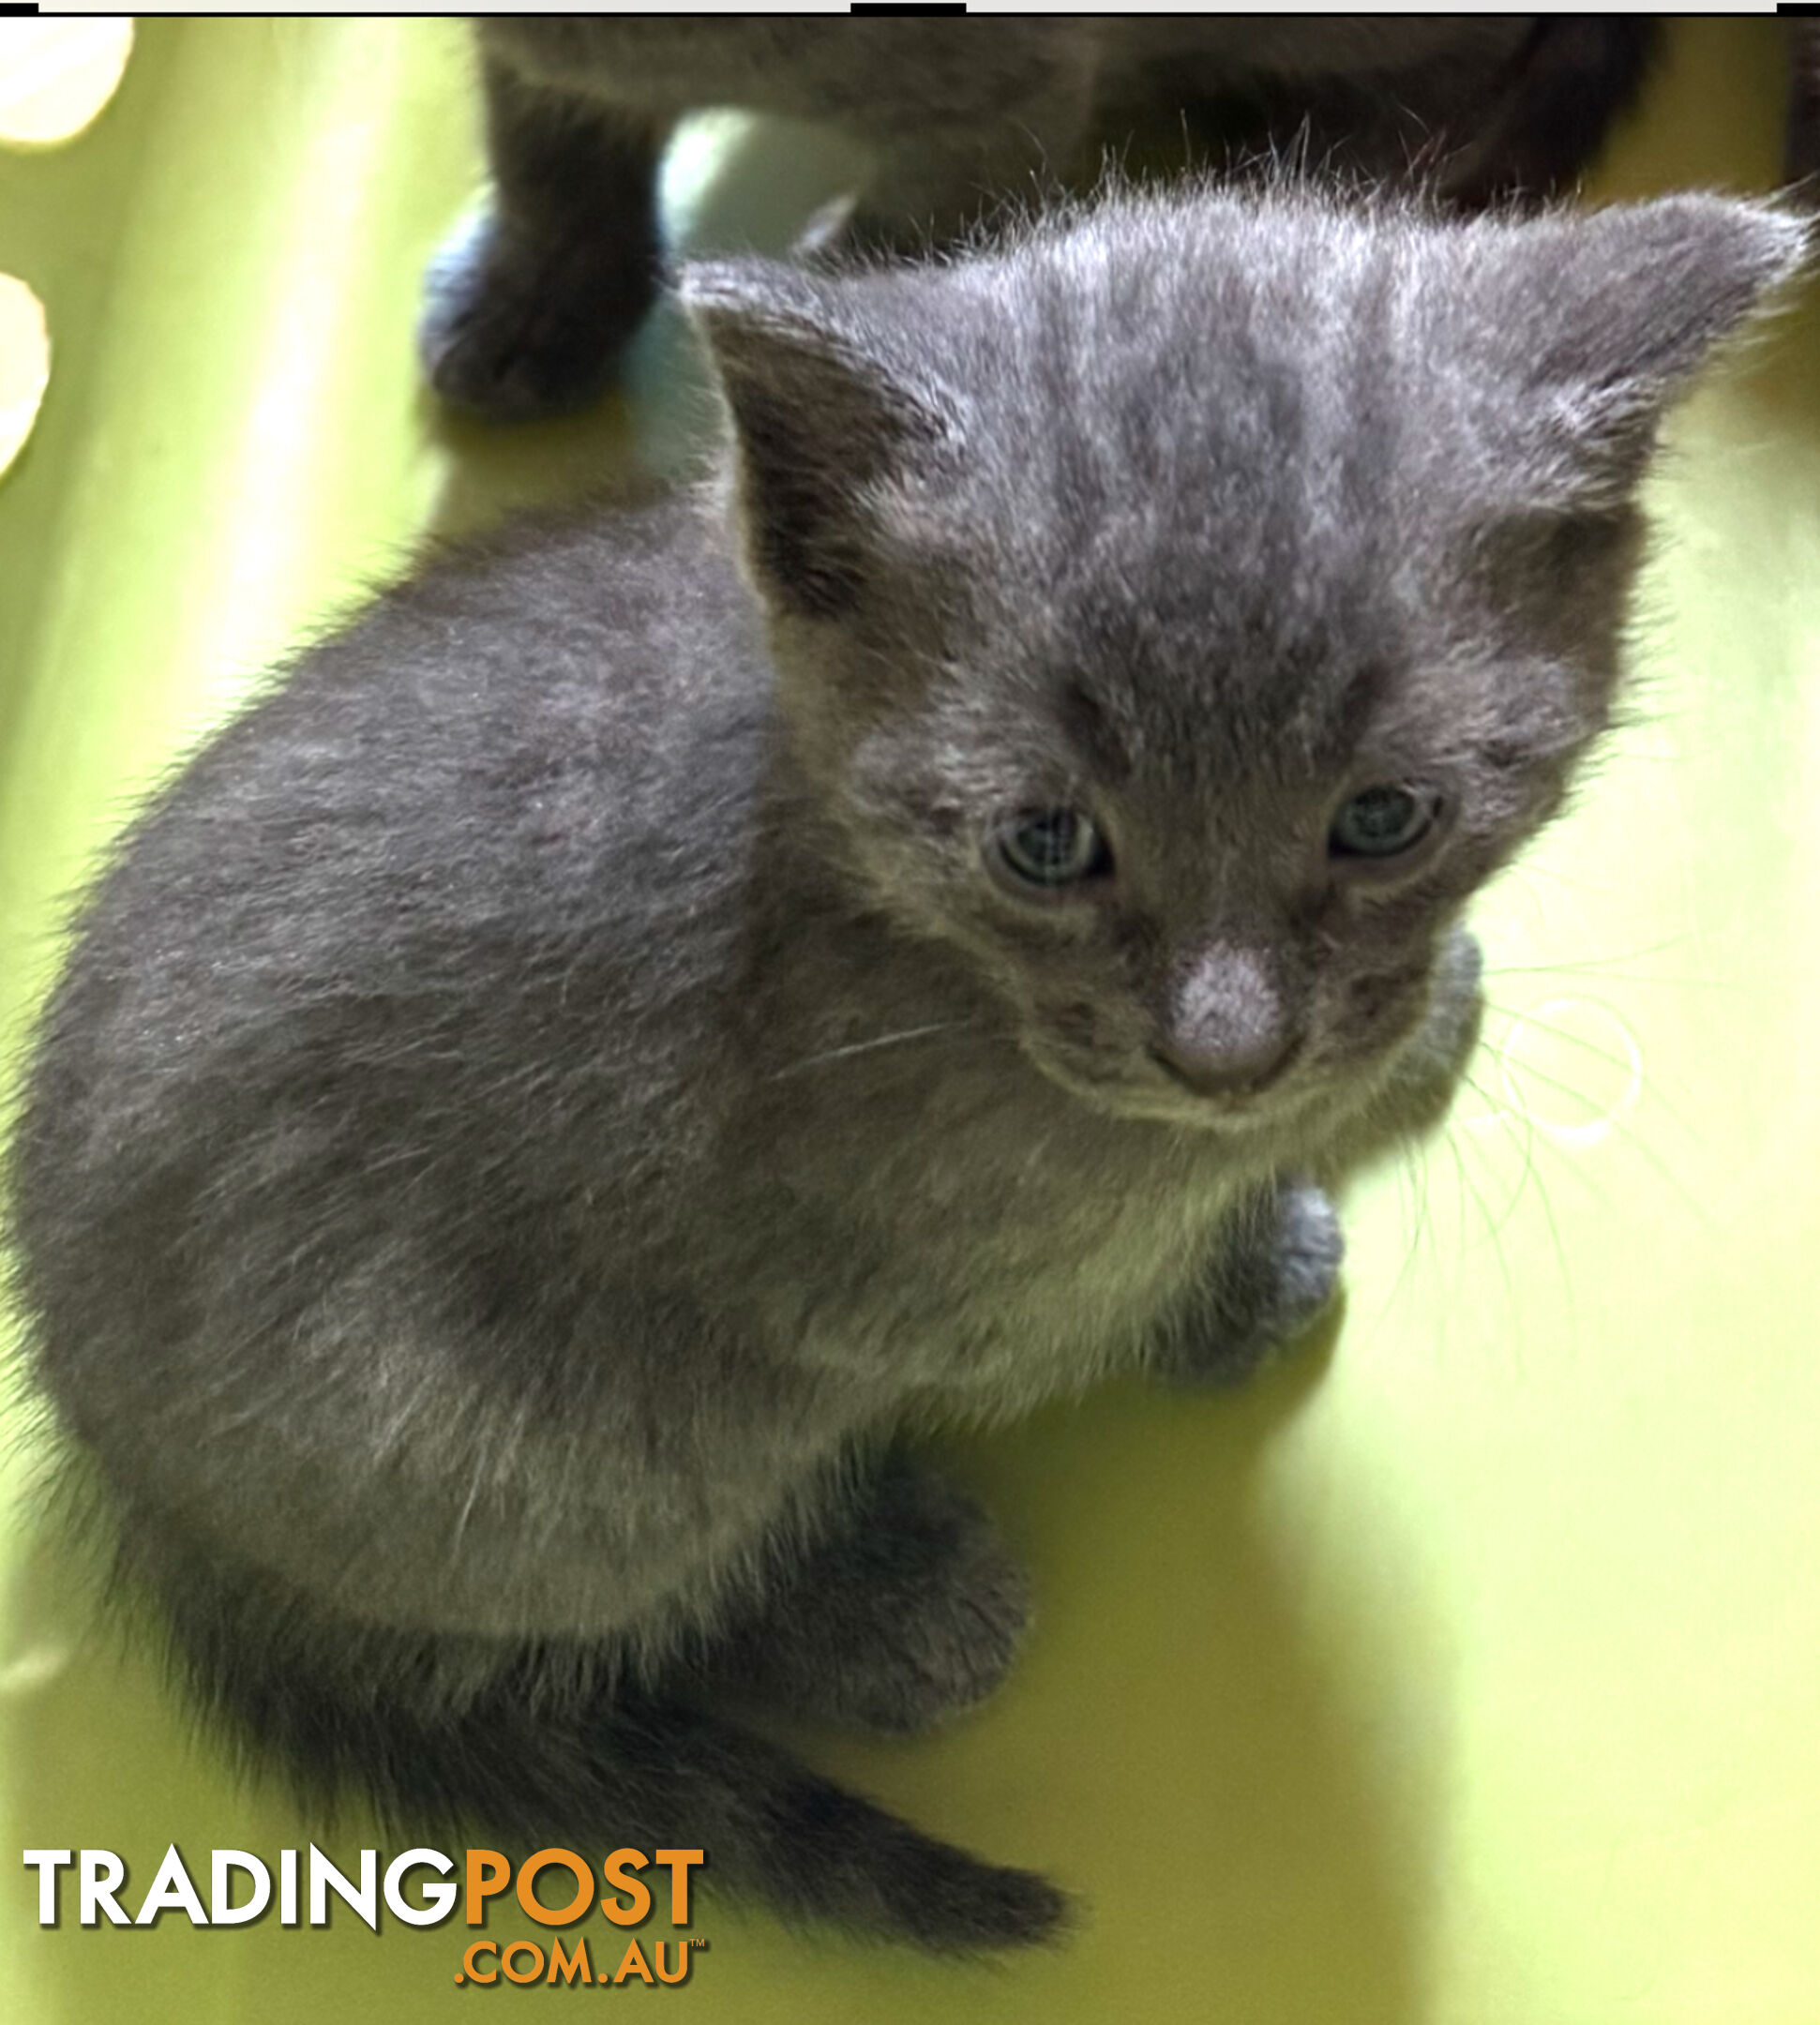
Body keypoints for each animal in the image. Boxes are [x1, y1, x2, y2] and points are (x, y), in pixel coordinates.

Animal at [3, 186, 1805, 1943]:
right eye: (1045, 843)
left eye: (1384, 818)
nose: (1226, 1049)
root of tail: (143, 1506)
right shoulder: (872, 1283)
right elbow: (1069, 1307)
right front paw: (1233, 1267)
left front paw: (1392, 1043)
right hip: (519, 1445)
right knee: (590, 1606)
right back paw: (891, 1603)